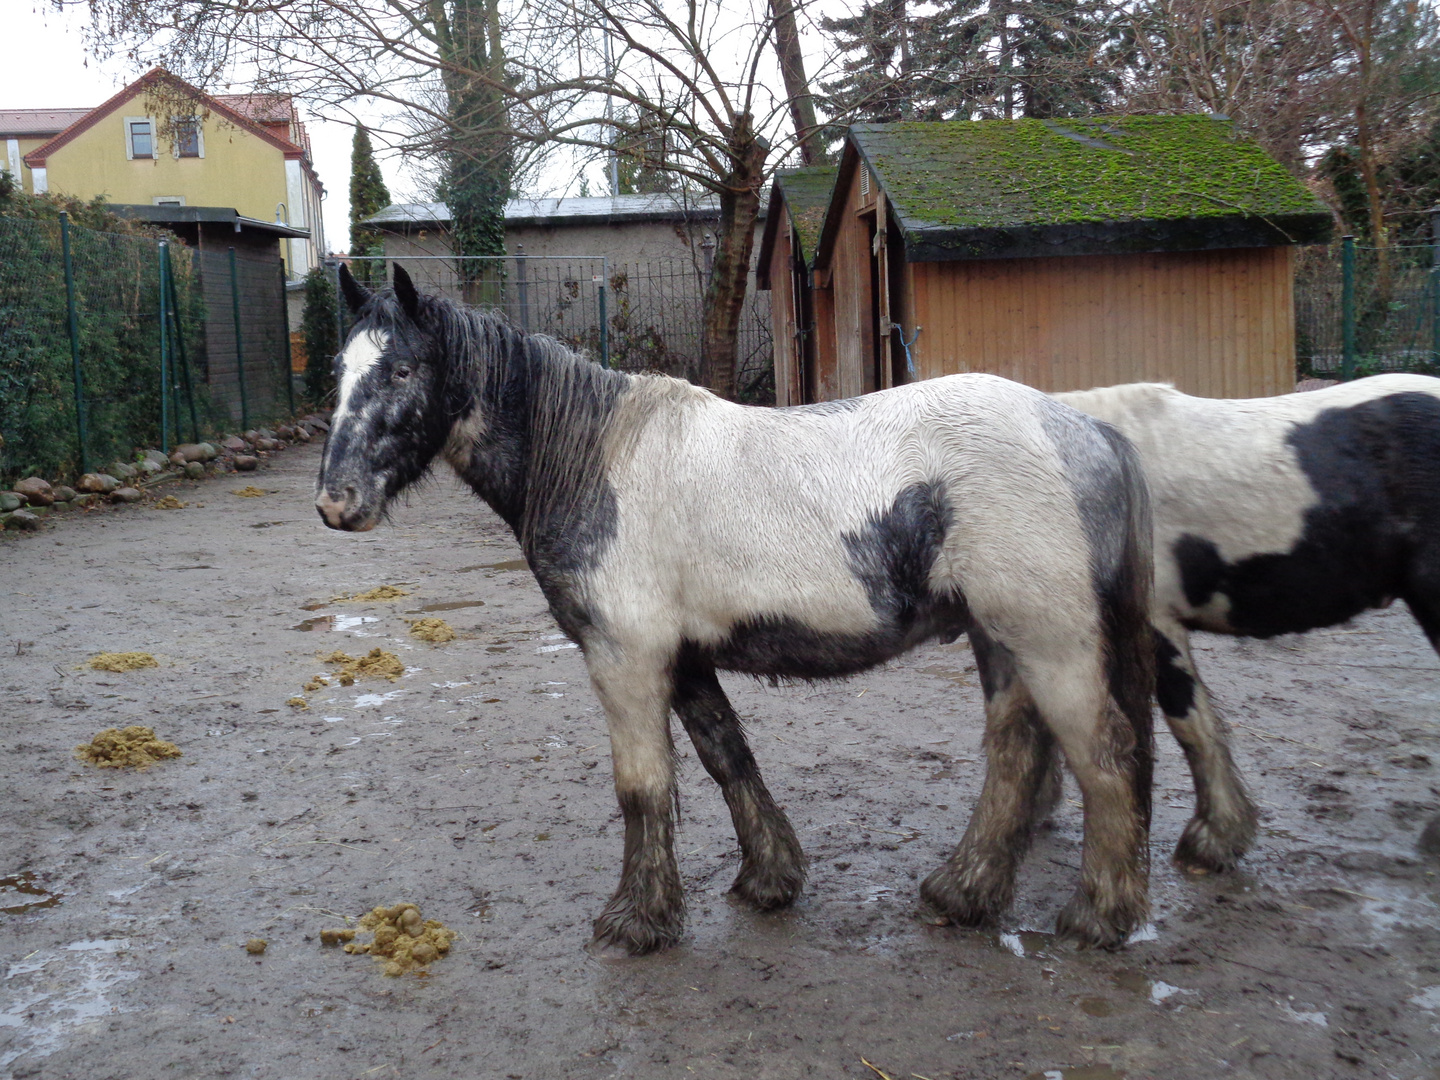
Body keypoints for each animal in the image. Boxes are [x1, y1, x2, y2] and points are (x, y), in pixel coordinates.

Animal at [315, 269, 1157, 956]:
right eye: (339, 372)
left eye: (401, 369)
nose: (336, 502)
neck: (594, 457)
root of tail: (1086, 430)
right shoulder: (683, 657)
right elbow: (726, 757)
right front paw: (770, 878)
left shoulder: (625, 658)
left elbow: (642, 785)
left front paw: (638, 921)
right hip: (1001, 639)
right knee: (1017, 755)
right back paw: (965, 894)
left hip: (1049, 641)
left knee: (1103, 755)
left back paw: (1100, 915)